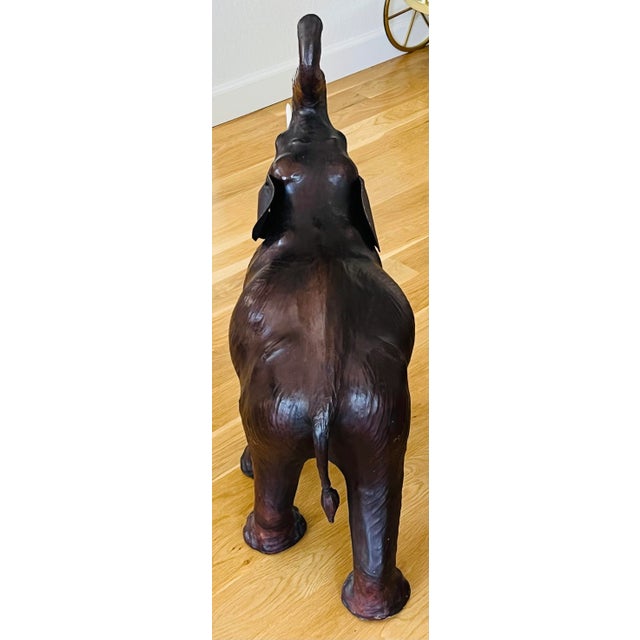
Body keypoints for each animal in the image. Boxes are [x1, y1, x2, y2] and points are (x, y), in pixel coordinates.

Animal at [228, 14, 415, 621]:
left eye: (279, 141)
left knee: (272, 468)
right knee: (378, 488)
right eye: (343, 141)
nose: (310, 23)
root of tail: (326, 402)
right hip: (378, 418)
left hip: (271, 412)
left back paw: (267, 539)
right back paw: (377, 608)